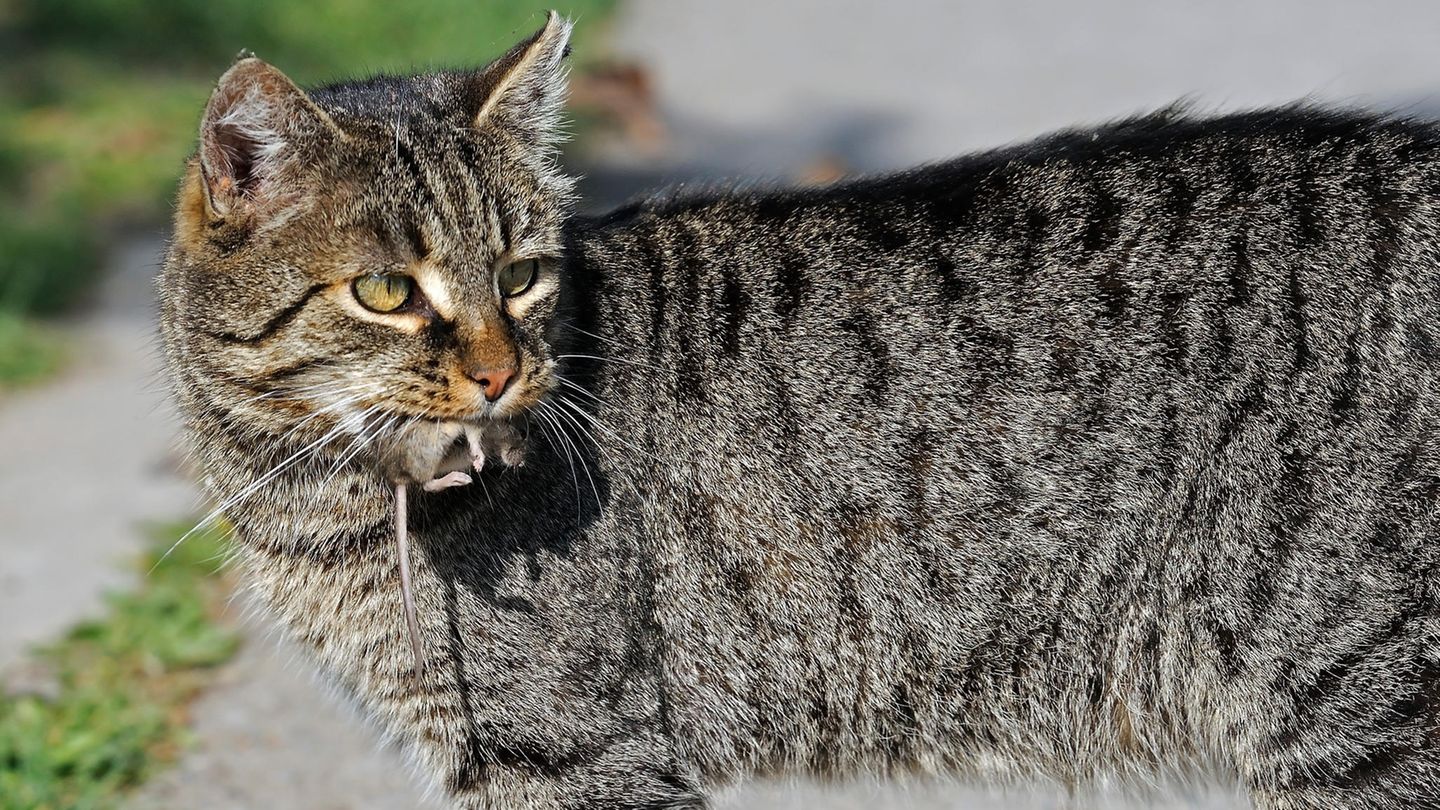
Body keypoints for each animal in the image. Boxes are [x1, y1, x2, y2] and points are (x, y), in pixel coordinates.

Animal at [157, 12, 1440, 807]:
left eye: (519, 275)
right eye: (385, 291)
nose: (498, 371)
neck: (317, 502)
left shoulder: (571, 752)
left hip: (1365, 706)